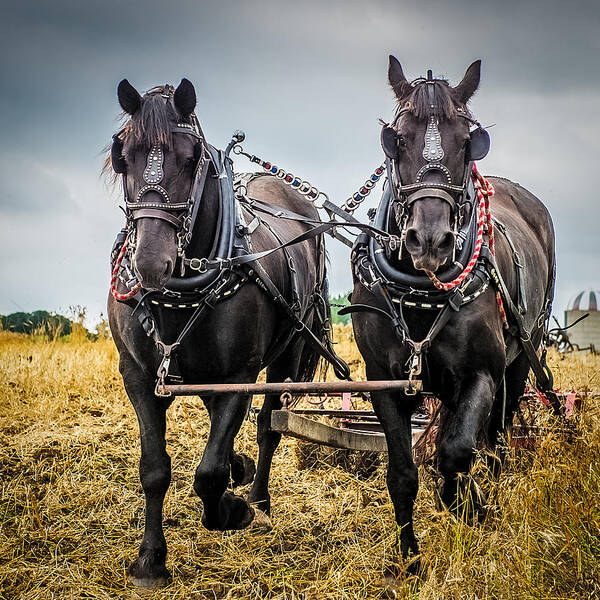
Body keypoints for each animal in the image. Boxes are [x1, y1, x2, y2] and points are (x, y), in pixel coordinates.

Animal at [108, 77, 338, 588]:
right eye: (122, 156)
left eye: (190, 158)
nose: (149, 264)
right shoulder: (139, 377)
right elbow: (154, 469)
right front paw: (150, 560)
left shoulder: (239, 376)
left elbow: (209, 473)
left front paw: (233, 510)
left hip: (288, 352)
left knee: (269, 424)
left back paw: (257, 497)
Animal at [352, 59, 552, 572]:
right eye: (398, 139)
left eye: (467, 141)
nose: (429, 240)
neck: (423, 292)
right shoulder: (385, 380)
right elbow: (402, 473)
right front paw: (409, 560)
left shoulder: (481, 372)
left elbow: (456, 454)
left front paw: (472, 505)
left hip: (522, 358)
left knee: (497, 436)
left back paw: (493, 491)